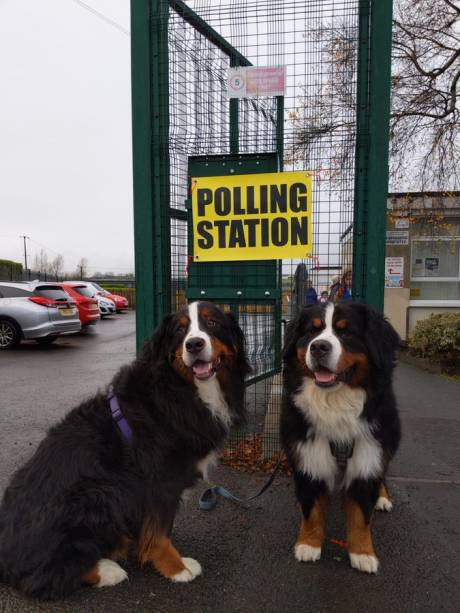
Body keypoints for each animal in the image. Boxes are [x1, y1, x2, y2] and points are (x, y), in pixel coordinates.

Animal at [0, 300, 250, 596]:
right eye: (180, 330)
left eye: (212, 323)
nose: (194, 344)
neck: (181, 389)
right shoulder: (158, 481)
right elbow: (160, 532)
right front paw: (175, 567)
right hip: (98, 492)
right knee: (41, 578)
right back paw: (107, 569)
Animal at [280, 302, 398, 572]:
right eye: (312, 332)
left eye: (345, 332)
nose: (318, 347)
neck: (334, 403)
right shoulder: (309, 456)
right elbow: (311, 510)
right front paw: (309, 544)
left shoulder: (368, 454)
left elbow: (361, 516)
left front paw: (363, 553)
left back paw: (383, 498)